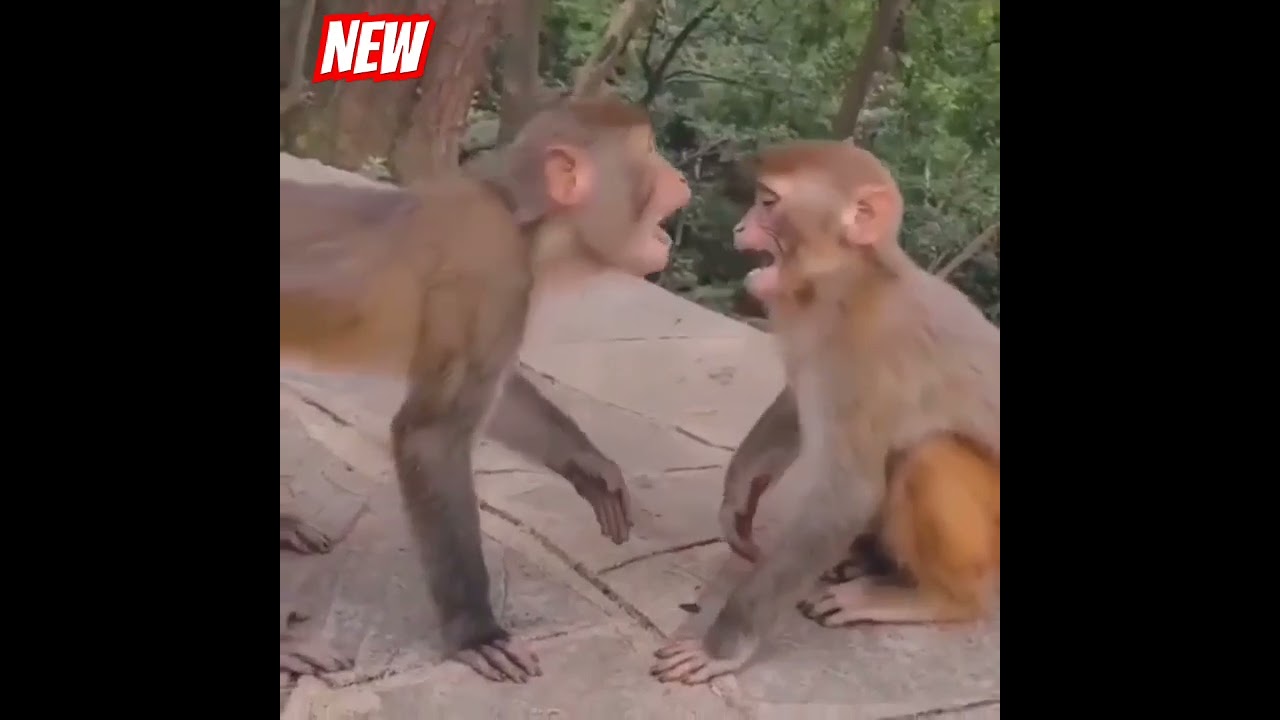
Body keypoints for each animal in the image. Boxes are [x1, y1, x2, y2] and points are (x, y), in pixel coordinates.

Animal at [281, 97, 692, 683]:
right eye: (651, 151)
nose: (679, 176)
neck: (524, 222)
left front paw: (586, 464)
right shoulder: (493, 275)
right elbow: (432, 434)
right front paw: (476, 631)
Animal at [651, 141, 998, 685]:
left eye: (768, 203)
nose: (739, 228)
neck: (847, 286)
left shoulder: (868, 348)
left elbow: (845, 495)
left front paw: (722, 645)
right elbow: (796, 400)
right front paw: (738, 497)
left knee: (926, 454)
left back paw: (938, 598)